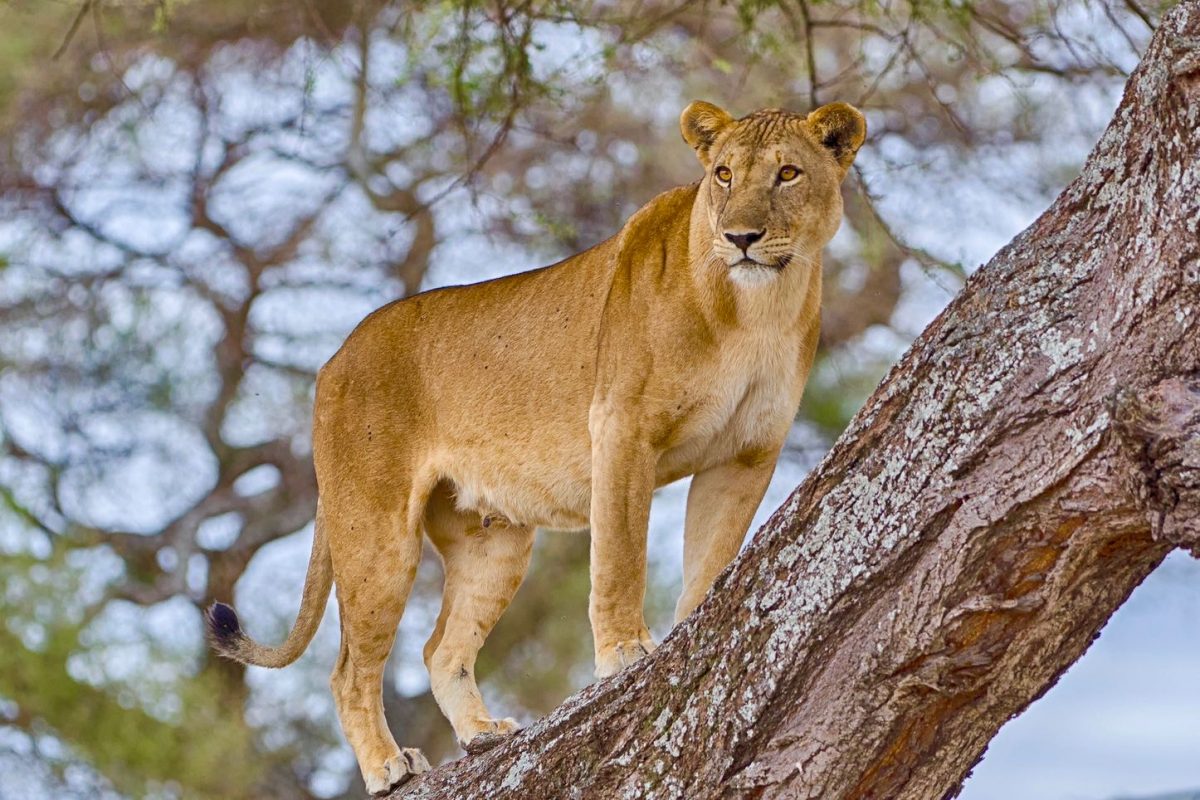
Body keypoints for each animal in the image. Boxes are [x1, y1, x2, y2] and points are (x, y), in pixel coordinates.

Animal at [206, 100, 864, 796]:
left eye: (788, 174)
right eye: (724, 175)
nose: (740, 237)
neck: (756, 310)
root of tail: (334, 360)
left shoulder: (746, 454)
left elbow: (711, 557)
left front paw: (697, 628)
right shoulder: (622, 428)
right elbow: (620, 556)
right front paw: (625, 652)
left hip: (493, 539)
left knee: (440, 650)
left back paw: (482, 734)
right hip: (374, 532)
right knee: (349, 670)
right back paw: (387, 766)